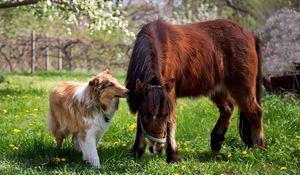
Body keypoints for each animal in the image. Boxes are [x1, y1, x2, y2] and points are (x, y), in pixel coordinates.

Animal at [125, 19, 266, 163]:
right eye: (146, 115)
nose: (157, 148)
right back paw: (216, 140)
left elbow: (171, 123)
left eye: (164, 115)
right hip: (216, 89)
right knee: (228, 108)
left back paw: (259, 146)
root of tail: (251, 35)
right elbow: (140, 125)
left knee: (255, 112)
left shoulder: (169, 95)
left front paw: (173, 156)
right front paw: (137, 151)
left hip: (242, 88)